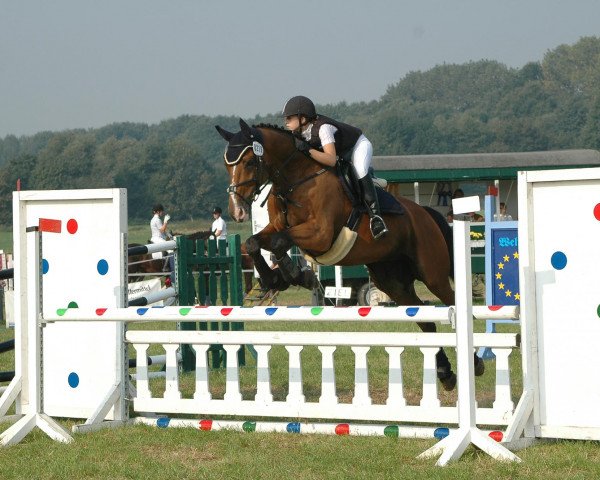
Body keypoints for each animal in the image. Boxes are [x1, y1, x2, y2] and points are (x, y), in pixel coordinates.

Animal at [214, 117, 482, 390]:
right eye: (226, 165)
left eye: (248, 162)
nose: (237, 212)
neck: (295, 180)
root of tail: (424, 212)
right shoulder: (279, 227)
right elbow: (254, 243)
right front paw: (278, 278)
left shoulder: (320, 234)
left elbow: (279, 242)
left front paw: (291, 275)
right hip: (394, 282)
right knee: (425, 319)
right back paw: (446, 374)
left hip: (432, 273)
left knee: (452, 302)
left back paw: (475, 363)